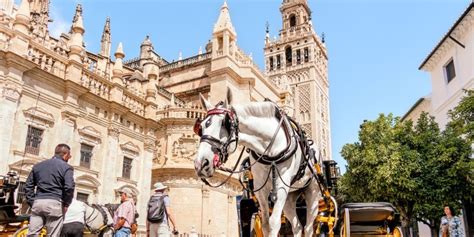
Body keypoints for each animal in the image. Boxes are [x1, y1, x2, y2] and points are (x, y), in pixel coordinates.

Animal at [193, 90, 322, 236]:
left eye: (225, 123)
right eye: (200, 127)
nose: (201, 163)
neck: (270, 145)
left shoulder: (282, 184)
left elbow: (274, 223)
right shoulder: (260, 187)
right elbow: (266, 224)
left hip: (312, 192)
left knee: (309, 227)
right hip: (290, 196)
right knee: (298, 226)